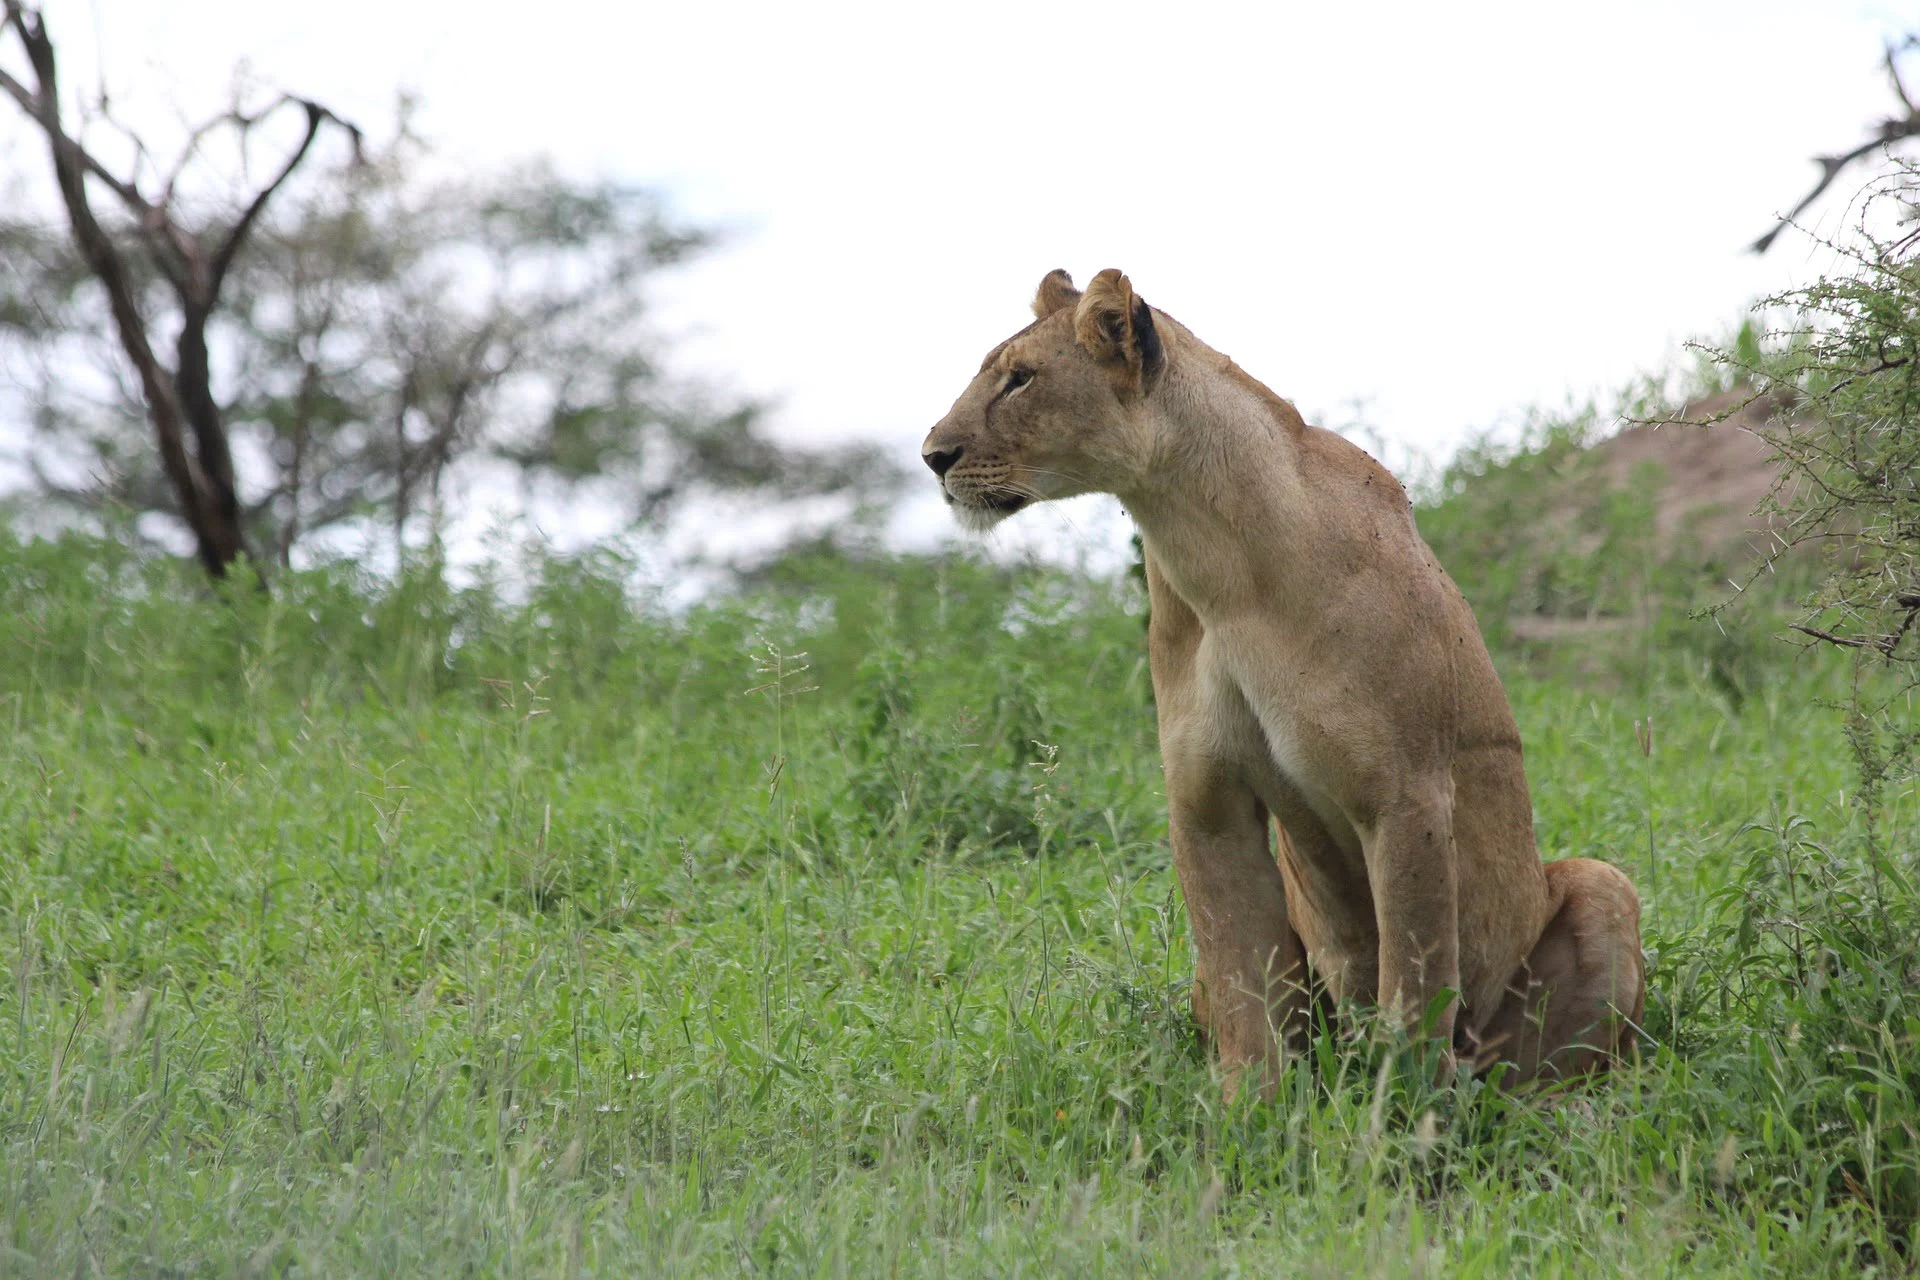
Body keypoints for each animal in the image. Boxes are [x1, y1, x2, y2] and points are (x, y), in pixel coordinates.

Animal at [922, 268, 1645, 1095]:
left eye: (1020, 379)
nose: (932, 455)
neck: (1212, 558)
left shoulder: (1407, 793)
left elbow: (1415, 983)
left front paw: (1401, 1114)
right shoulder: (1206, 798)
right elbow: (1244, 979)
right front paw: (1249, 1111)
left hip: (1600, 887)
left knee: (1547, 1072)